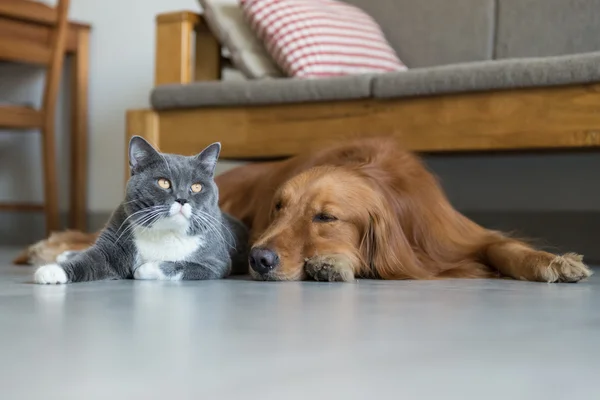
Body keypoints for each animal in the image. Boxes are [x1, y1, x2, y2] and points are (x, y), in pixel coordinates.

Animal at [33, 138, 248, 284]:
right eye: (163, 182)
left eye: (196, 187)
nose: (182, 199)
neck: (166, 233)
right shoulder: (112, 244)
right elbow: (90, 259)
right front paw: (51, 271)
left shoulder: (216, 263)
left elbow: (181, 265)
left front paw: (143, 269)